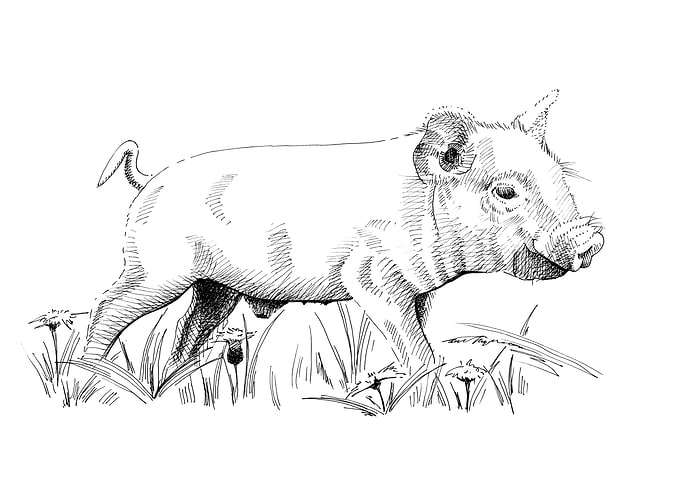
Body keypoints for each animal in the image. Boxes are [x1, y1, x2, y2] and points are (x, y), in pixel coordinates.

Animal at [85, 90, 604, 375]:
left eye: (561, 180)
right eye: (506, 191)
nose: (590, 239)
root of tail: (149, 180)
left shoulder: (420, 290)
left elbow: (419, 332)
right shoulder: (371, 276)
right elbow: (414, 346)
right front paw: (433, 380)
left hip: (215, 286)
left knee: (190, 329)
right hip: (155, 269)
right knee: (108, 307)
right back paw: (89, 374)